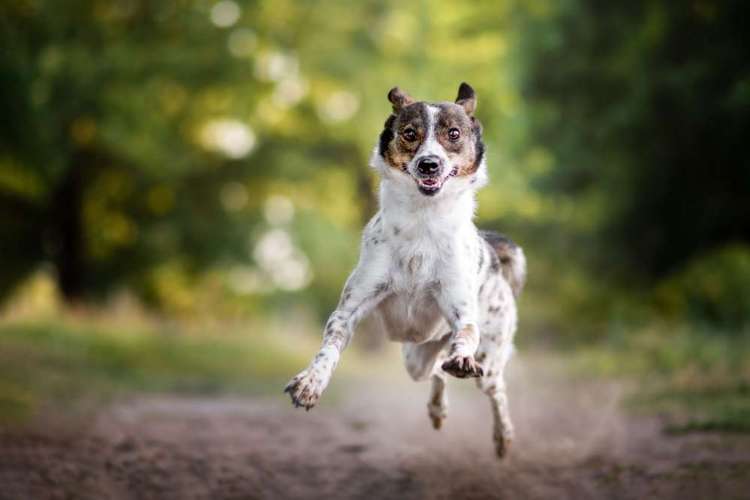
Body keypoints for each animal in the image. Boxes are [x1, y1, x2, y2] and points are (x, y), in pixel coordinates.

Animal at [284, 83, 524, 458]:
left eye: (453, 134)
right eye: (410, 133)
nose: (429, 164)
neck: (423, 220)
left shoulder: (461, 311)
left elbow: (465, 336)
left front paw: (462, 357)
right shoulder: (351, 307)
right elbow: (330, 346)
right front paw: (311, 382)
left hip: (489, 358)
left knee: (494, 388)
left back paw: (503, 436)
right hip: (416, 356)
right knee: (436, 371)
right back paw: (438, 409)